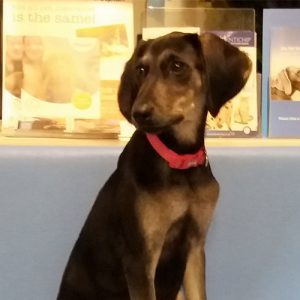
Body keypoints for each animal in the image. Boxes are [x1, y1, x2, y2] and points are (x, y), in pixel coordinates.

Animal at [56, 32, 251, 300]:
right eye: (141, 69)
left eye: (177, 66)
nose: (138, 113)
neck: (178, 159)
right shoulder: (141, 258)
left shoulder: (195, 247)